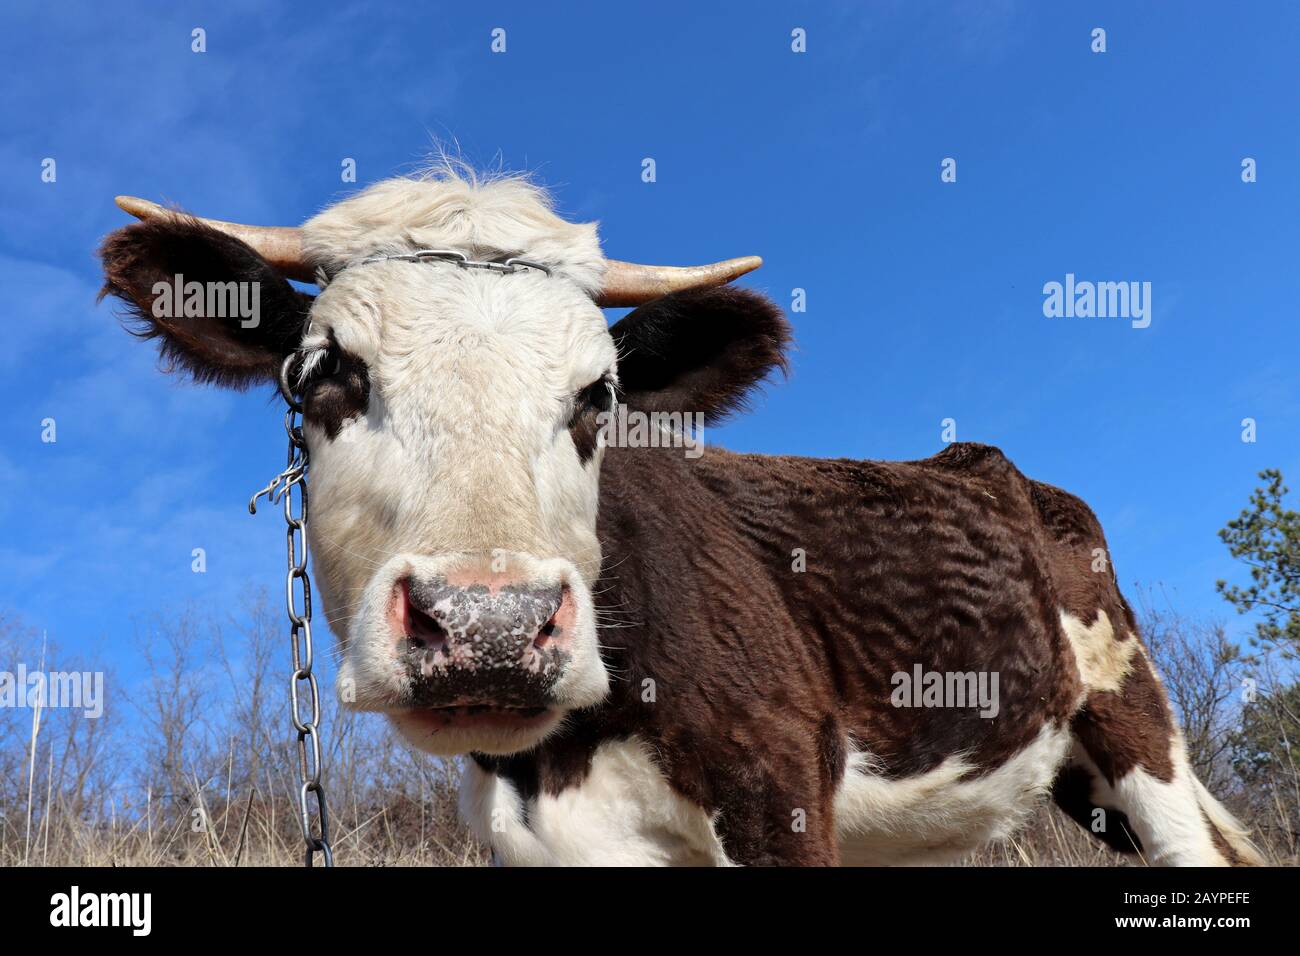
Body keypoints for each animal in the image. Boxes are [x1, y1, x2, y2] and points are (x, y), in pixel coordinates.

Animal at [98, 164, 1258, 868]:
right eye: (327, 373)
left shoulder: (780, 787)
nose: (490, 628)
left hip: (1134, 724)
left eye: (598, 395)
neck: (554, 762)